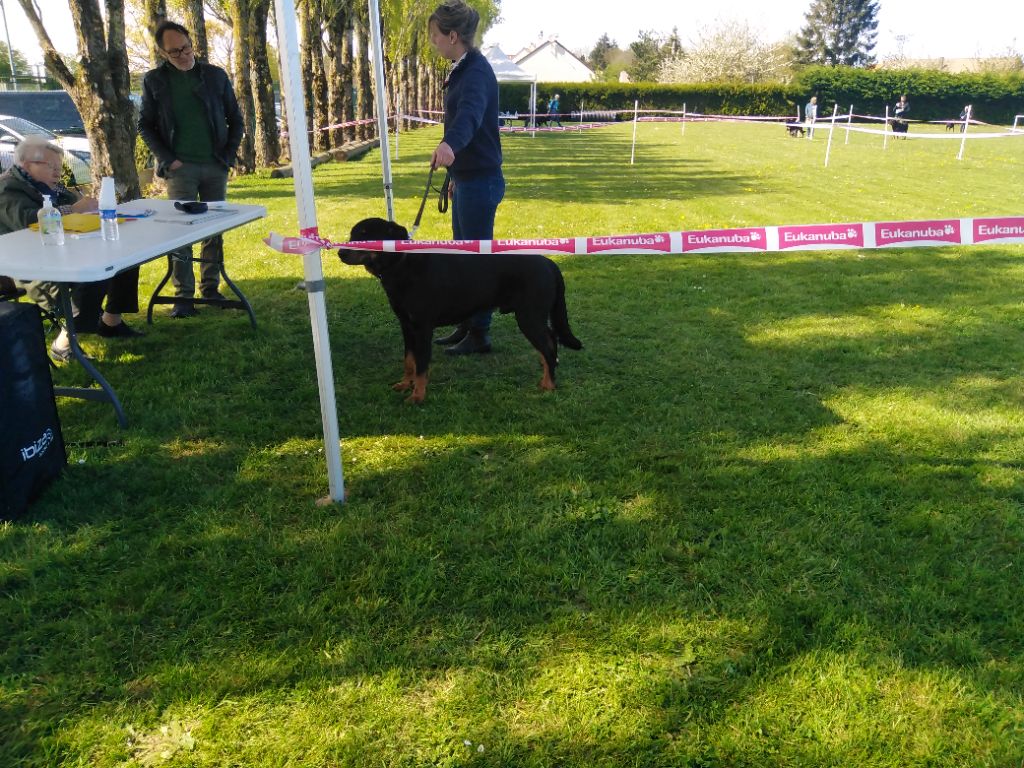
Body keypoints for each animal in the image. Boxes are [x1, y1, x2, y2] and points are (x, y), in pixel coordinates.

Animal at [339, 218, 581, 405]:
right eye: (352, 234)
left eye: (365, 236)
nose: (341, 252)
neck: (401, 264)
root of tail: (549, 263)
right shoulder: (406, 326)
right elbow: (409, 360)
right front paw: (405, 384)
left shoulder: (422, 328)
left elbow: (421, 365)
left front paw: (418, 395)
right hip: (533, 316)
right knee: (550, 341)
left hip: (529, 316)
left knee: (548, 345)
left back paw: (549, 384)